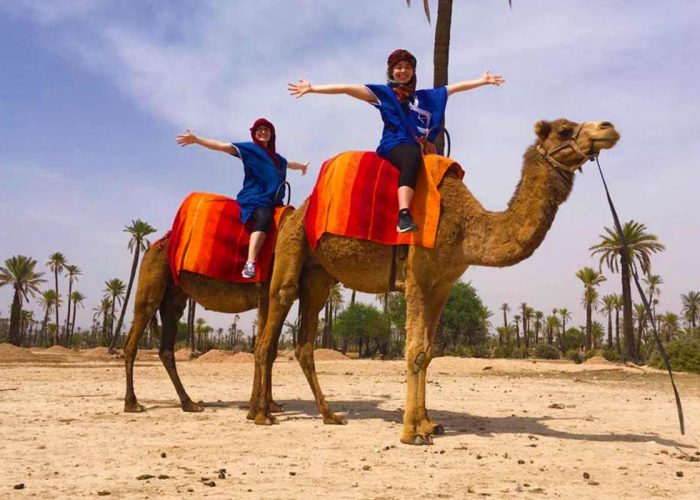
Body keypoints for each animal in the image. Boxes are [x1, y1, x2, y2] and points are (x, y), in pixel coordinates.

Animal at [122, 214, 293, 414]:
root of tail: (151, 246)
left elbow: (270, 349)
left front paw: (271, 404)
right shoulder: (266, 293)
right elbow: (263, 345)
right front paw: (260, 405)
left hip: (173, 297)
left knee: (166, 346)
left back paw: (189, 403)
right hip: (151, 278)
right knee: (136, 329)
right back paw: (132, 403)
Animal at [248, 118, 620, 444]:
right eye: (564, 129)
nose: (608, 128)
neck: (466, 227)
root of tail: (294, 212)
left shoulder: (443, 284)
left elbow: (427, 353)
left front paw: (428, 423)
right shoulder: (417, 277)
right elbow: (413, 350)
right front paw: (411, 433)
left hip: (319, 277)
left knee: (303, 344)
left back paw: (328, 415)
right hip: (292, 252)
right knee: (270, 332)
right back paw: (262, 415)